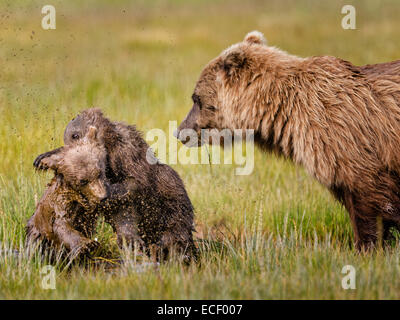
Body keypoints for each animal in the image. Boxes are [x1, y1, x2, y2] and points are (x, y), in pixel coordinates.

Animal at [177, 30, 400, 250]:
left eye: (196, 99)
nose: (179, 132)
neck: (284, 109)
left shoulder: (348, 139)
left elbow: (369, 198)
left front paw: (368, 246)